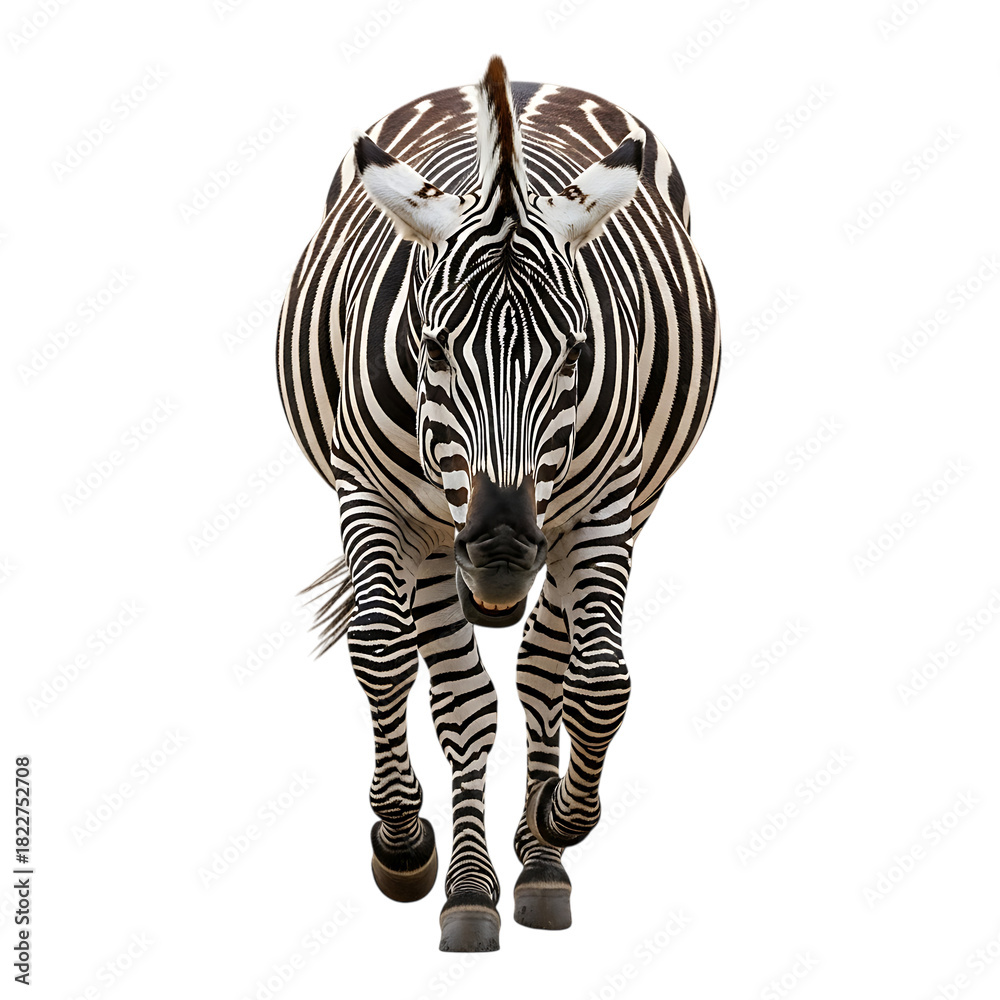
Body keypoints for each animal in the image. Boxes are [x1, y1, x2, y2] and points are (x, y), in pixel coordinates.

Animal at [276, 56, 719, 952]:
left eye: (576, 353)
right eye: (435, 347)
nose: (505, 552)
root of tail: (527, 87)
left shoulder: (604, 508)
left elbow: (599, 682)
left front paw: (556, 821)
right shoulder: (376, 498)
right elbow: (390, 659)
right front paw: (408, 846)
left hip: (608, 511)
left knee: (543, 665)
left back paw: (540, 863)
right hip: (431, 536)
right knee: (462, 691)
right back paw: (471, 885)